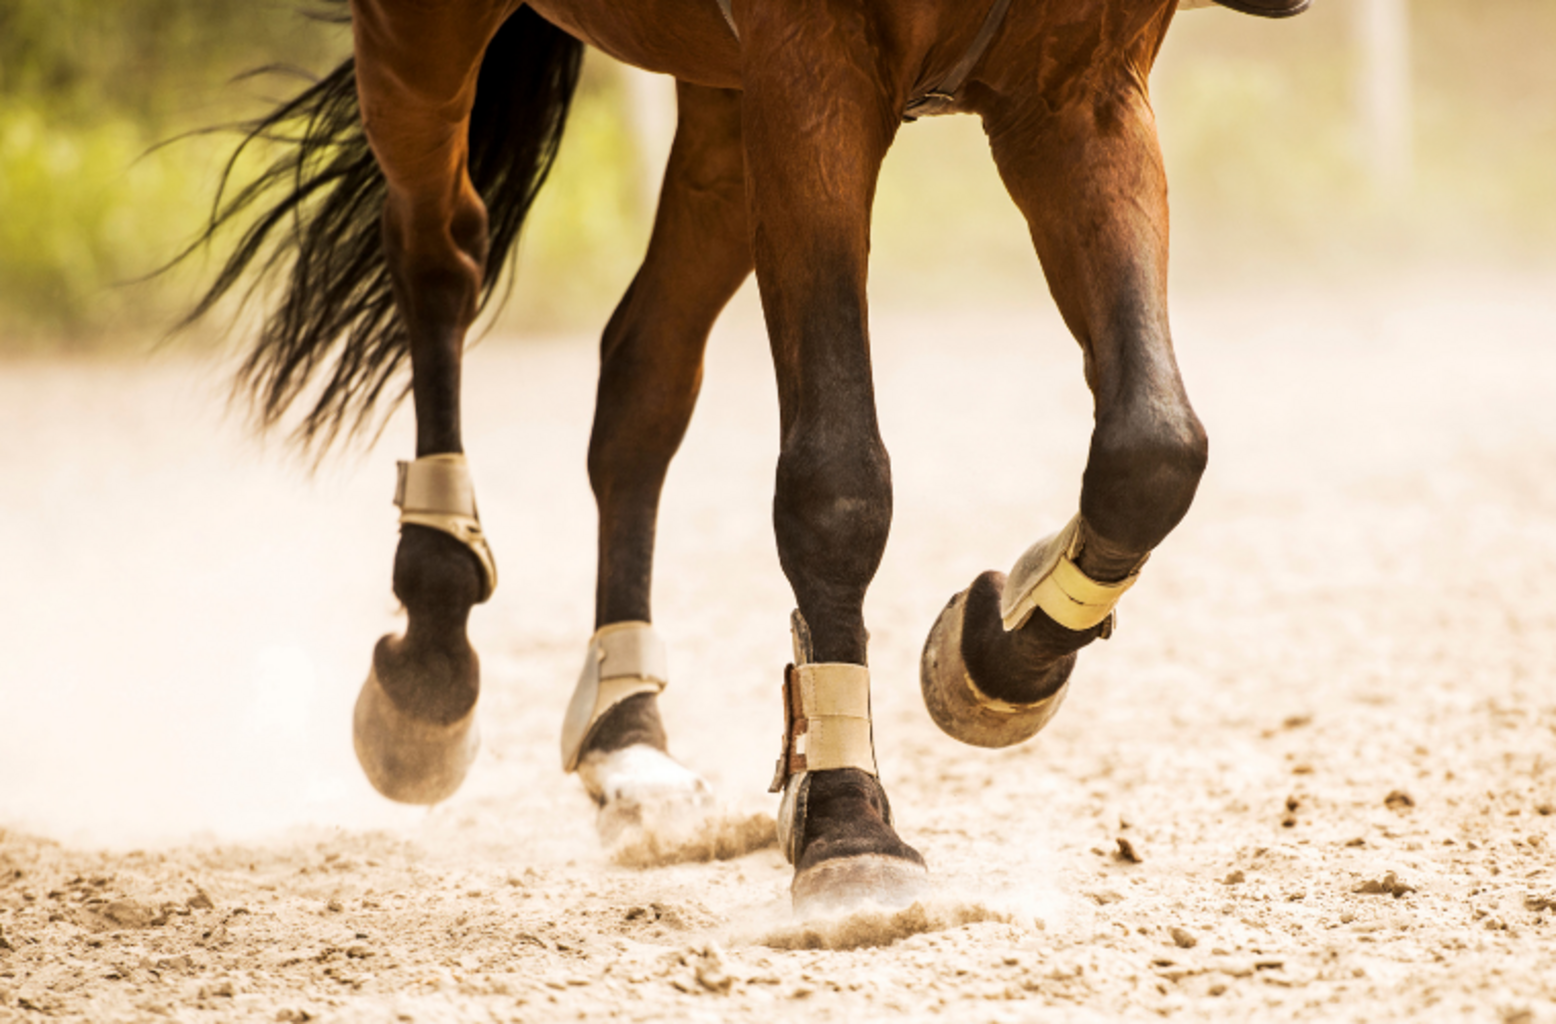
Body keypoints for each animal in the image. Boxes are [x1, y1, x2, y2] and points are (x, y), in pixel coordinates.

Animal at [187, 0, 1308, 913]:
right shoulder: (813, 83)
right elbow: (837, 480)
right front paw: (850, 826)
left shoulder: (1077, 93)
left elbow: (1150, 449)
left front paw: (991, 654)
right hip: (432, 36)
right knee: (439, 253)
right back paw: (430, 651)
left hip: (723, 102)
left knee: (642, 369)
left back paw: (627, 736)